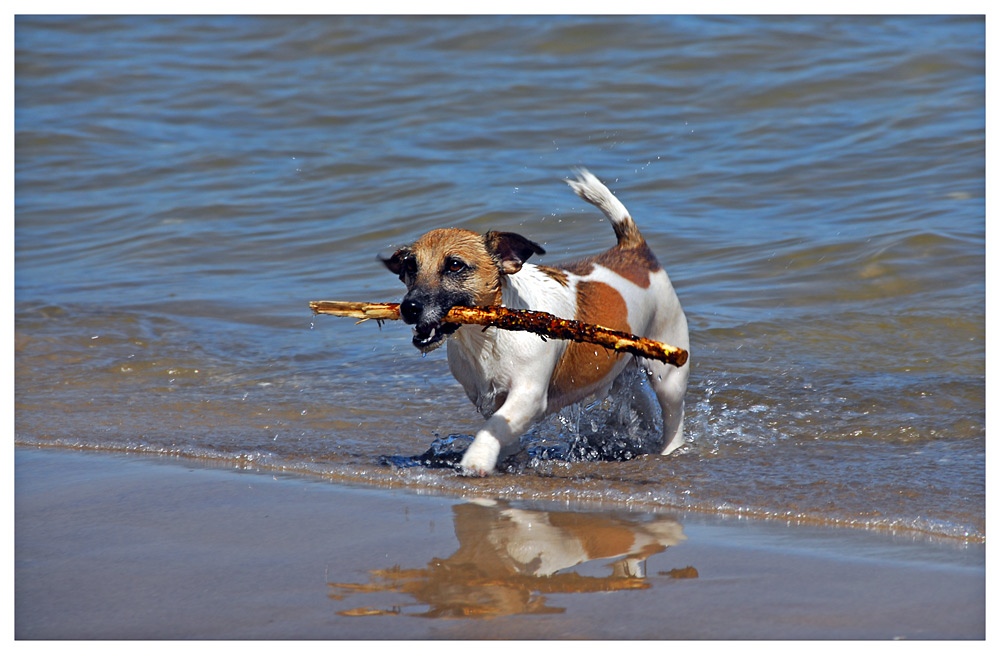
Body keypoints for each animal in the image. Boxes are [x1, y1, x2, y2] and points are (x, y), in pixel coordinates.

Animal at [380, 170, 688, 476]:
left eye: (455, 265)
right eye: (410, 266)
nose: (409, 308)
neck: (490, 335)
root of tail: (634, 251)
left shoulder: (528, 396)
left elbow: (494, 427)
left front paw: (476, 459)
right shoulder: (489, 398)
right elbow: (501, 430)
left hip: (669, 374)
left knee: (673, 418)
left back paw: (670, 450)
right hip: (621, 372)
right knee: (641, 401)